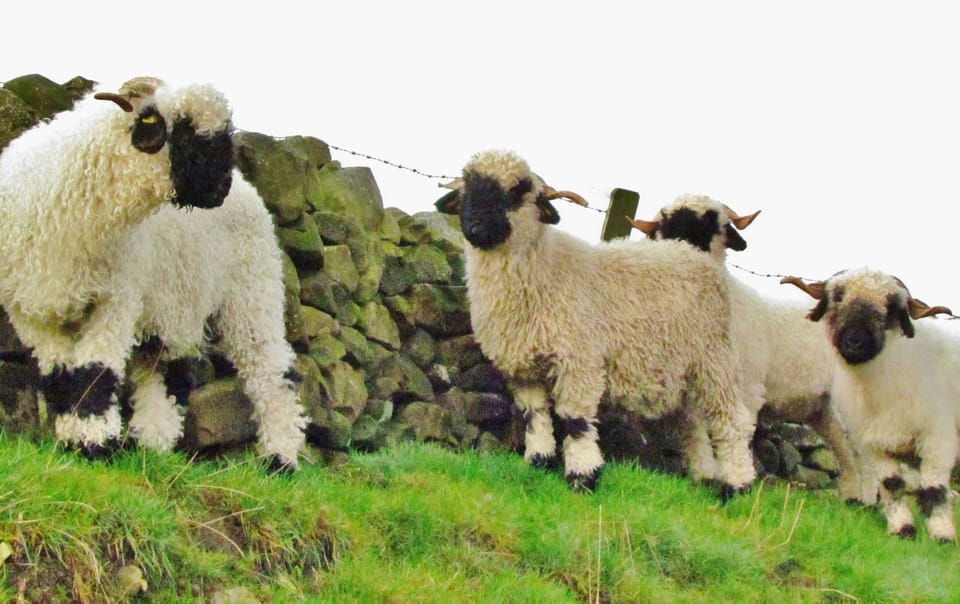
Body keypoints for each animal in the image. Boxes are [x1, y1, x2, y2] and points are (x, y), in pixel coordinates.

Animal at [0, 76, 307, 470]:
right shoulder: (29, 311)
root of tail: (249, 190)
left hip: (252, 290)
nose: (220, 188)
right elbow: (61, 378)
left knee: (272, 372)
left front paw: (96, 445)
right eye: (186, 134)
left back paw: (280, 459)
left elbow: (95, 372)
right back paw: (153, 446)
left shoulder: (115, 299)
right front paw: (73, 442)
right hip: (173, 299)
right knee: (168, 370)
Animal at [435, 150, 756, 495]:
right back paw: (704, 478)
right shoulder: (522, 369)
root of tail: (690, 252)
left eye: (518, 191)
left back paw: (738, 486)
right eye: (468, 186)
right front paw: (539, 461)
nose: (475, 227)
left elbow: (574, 420)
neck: (545, 270)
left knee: (731, 421)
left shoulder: (578, 360)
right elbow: (534, 416)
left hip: (714, 359)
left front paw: (583, 476)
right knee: (693, 424)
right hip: (680, 372)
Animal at [628, 195, 875, 504]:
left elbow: (735, 429)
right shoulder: (692, 393)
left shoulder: (746, 389)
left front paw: (735, 482)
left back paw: (869, 501)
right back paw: (852, 498)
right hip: (822, 409)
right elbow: (695, 433)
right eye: (667, 228)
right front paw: (705, 476)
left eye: (713, 225)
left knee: (863, 453)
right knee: (844, 449)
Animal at [784, 268, 958, 541]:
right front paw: (903, 528)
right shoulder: (876, 443)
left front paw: (942, 535)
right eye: (838, 297)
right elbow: (891, 484)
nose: (854, 343)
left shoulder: (938, 438)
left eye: (891, 306)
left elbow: (935, 488)